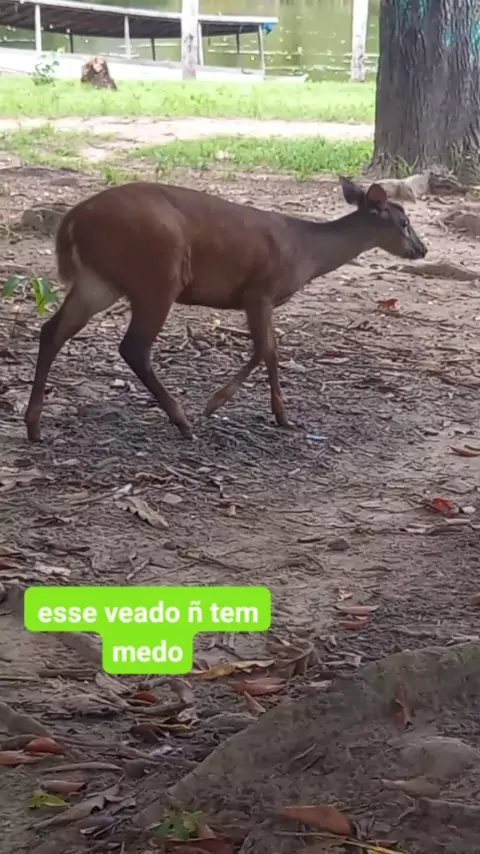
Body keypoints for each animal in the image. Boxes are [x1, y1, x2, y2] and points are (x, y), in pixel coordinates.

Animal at [24, 176, 427, 443]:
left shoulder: (258, 296)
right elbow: (267, 348)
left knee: (52, 331)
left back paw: (33, 425)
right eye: (405, 222)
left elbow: (270, 350)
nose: (422, 249)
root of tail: (71, 222)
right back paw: (183, 420)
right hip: (157, 275)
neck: (306, 253)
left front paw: (280, 415)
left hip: (99, 281)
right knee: (133, 347)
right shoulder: (259, 288)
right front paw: (216, 404)